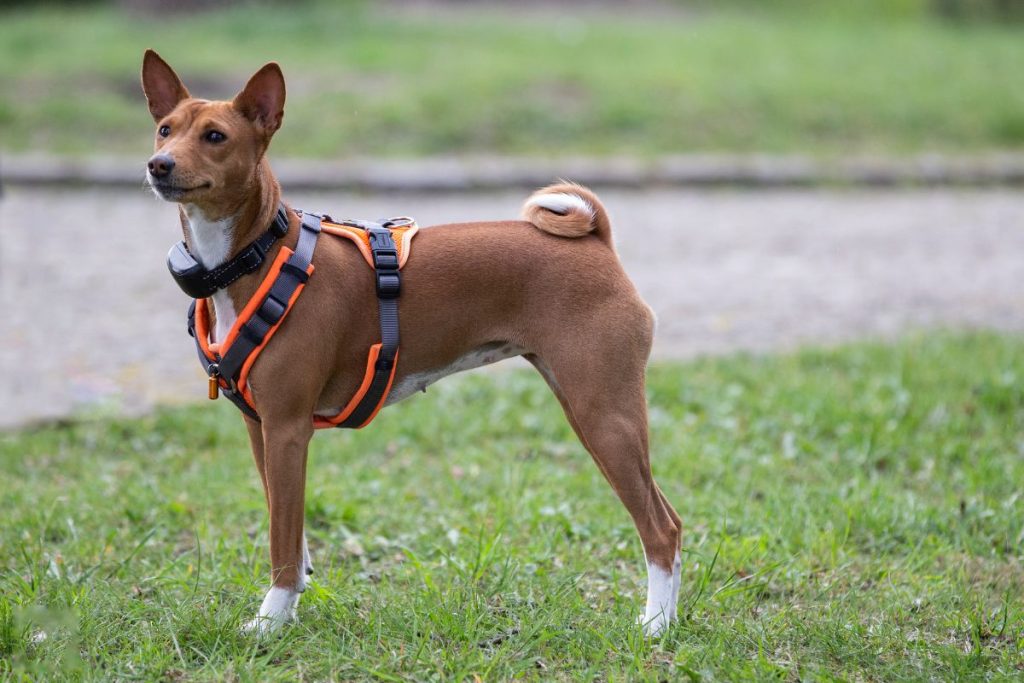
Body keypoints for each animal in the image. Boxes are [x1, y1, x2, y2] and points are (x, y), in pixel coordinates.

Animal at [138, 50, 679, 638]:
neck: (257, 255)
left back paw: (656, 627)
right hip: (589, 408)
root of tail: (598, 241)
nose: (159, 165)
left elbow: (281, 543)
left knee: (662, 529)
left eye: (214, 136)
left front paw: (270, 621)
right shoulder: (260, 429)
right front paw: (291, 605)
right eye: (165, 130)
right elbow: (292, 531)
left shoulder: (287, 429)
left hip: (604, 415)